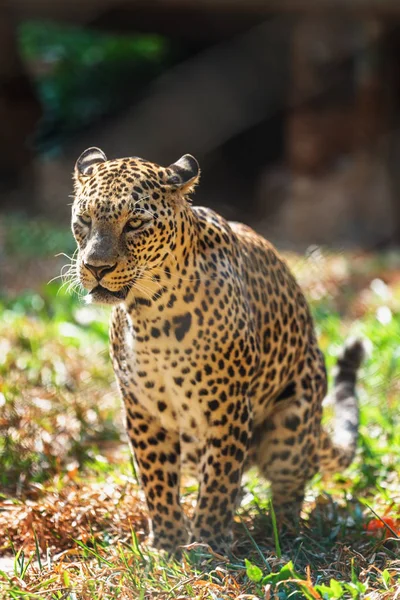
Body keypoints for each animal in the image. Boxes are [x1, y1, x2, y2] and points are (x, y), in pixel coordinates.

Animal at [70, 146, 364, 552]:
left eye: (135, 224)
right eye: (84, 220)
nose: (96, 267)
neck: (151, 314)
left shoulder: (227, 405)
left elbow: (221, 477)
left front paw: (208, 542)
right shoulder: (143, 407)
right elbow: (156, 476)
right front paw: (168, 542)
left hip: (291, 425)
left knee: (290, 486)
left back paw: (282, 532)